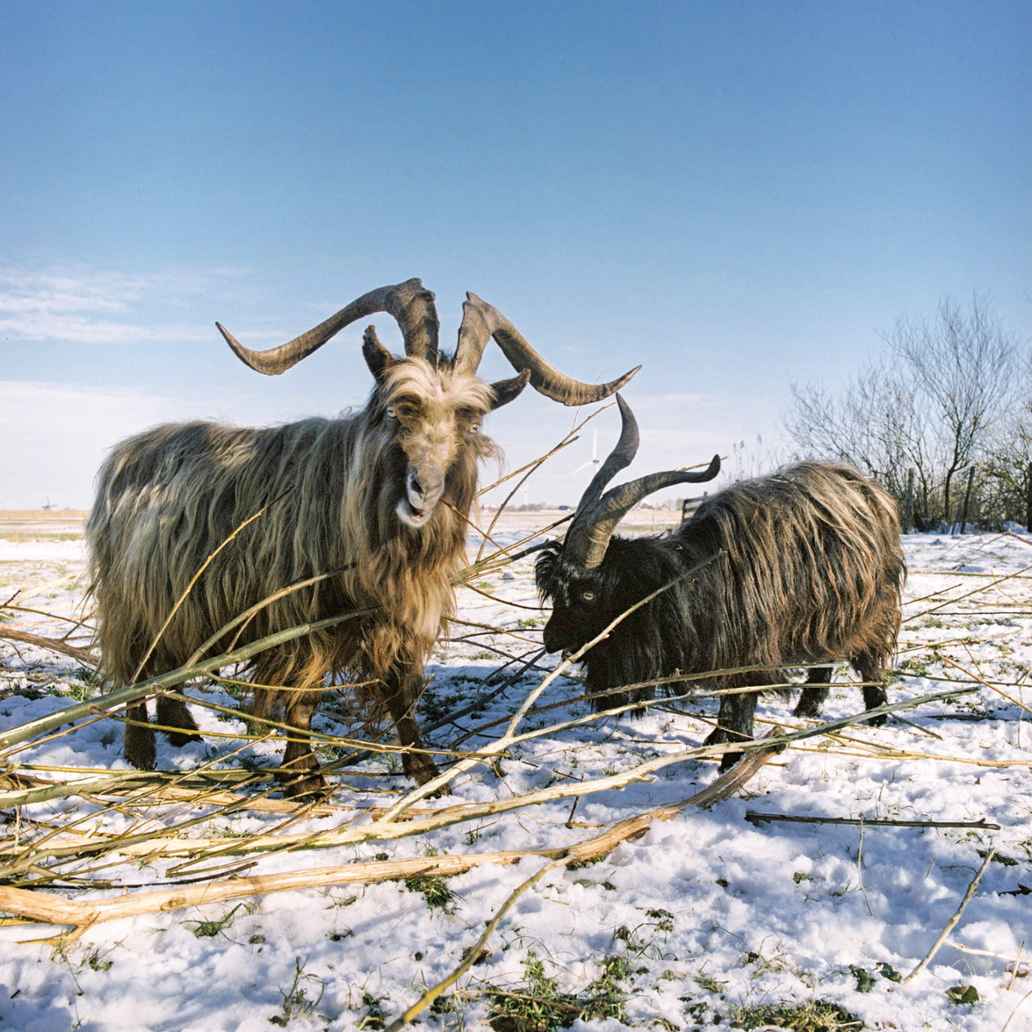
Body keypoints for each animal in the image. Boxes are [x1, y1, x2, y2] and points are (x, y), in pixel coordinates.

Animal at [536, 394, 908, 767]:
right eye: (555, 590)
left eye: (588, 594)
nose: (550, 639)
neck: (696, 579)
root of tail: (870, 489)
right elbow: (728, 700)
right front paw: (716, 740)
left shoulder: (753, 649)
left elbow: (740, 700)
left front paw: (733, 758)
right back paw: (807, 707)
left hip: (876, 604)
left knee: (869, 654)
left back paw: (876, 712)